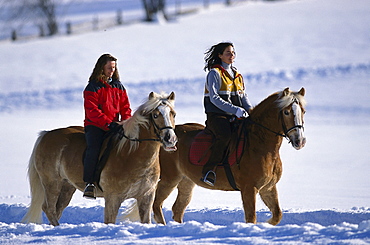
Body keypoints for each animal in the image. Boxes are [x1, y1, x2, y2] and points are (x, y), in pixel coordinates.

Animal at [22, 92, 178, 226]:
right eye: (155, 115)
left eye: (173, 114)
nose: (170, 139)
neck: (133, 155)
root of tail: (45, 134)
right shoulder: (113, 198)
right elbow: (110, 221)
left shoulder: (146, 197)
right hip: (52, 182)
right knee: (48, 208)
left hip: (67, 186)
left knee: (57, 209)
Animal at [153, 87, 306, 226]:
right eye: (286, 112)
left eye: (303, 111)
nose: (300, 141)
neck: (260, 145)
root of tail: (164, 138)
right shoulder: (249, 189)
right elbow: (251, 218)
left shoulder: (268, 188)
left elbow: (277, 215)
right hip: (170, 179)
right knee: (157, 204)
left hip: (186, 181)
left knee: (177, 209)